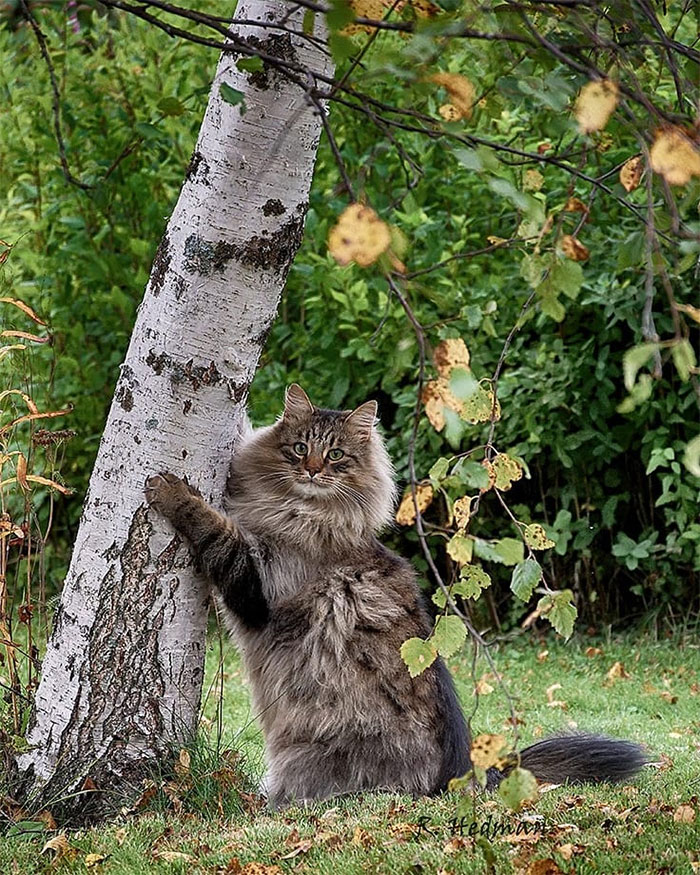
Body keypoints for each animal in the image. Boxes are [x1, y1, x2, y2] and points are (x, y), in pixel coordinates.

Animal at [145, 386, 648, 812]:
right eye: (299, 448)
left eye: (336, 454)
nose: (312, 470)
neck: (300, 512)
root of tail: (464, 773)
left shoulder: (255, 580)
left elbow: (214, 527)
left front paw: (171, 491)